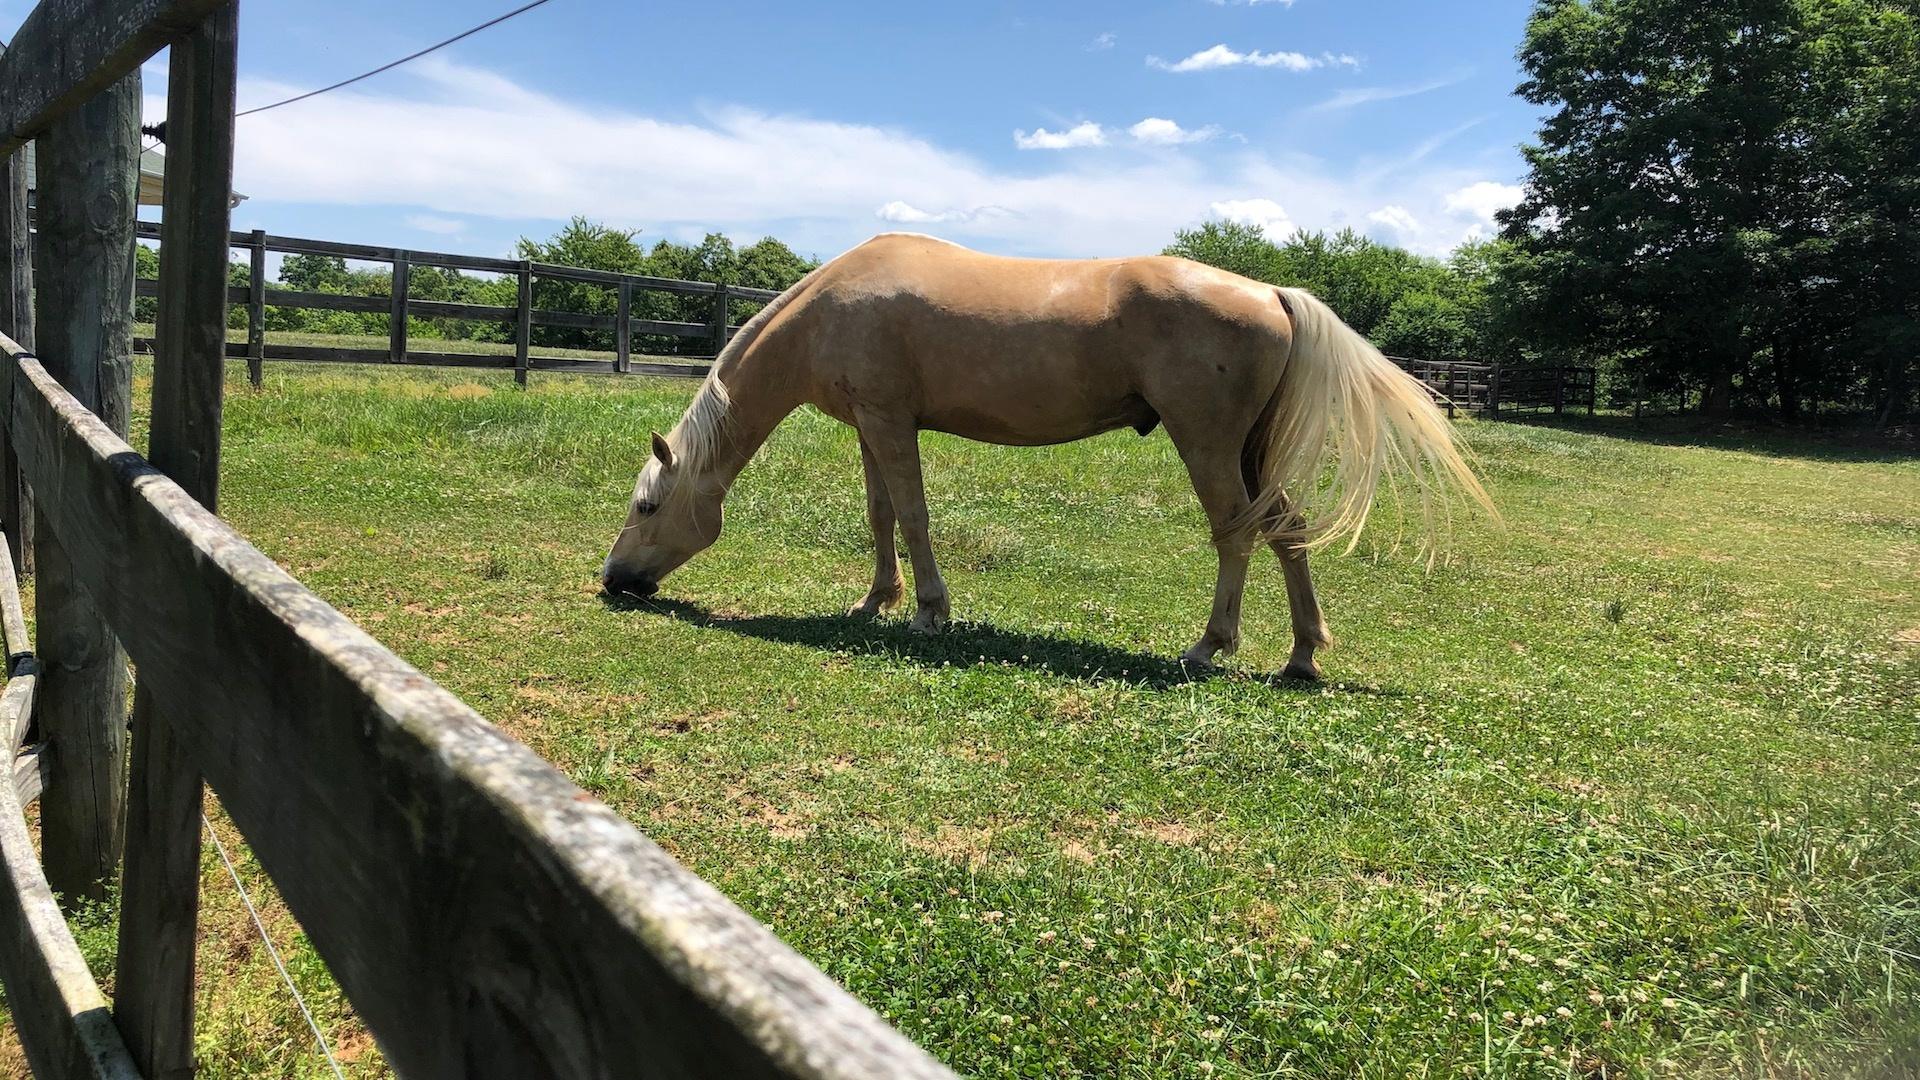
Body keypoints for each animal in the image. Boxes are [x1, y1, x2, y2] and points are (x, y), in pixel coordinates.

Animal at [599, 232, 1482, 676]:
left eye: (647, 504)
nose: (613, 581)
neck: (828, 308)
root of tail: (1270, 292)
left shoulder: (889, 421)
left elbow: (913, 516)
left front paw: (929, 611)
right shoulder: (871, 425)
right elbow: (881, 515)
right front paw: (875, 600)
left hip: (1207, 444)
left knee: (1235, 532)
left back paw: (1209, 647)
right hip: (1252, 453)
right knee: (1287, 530)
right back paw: (1302, 655)